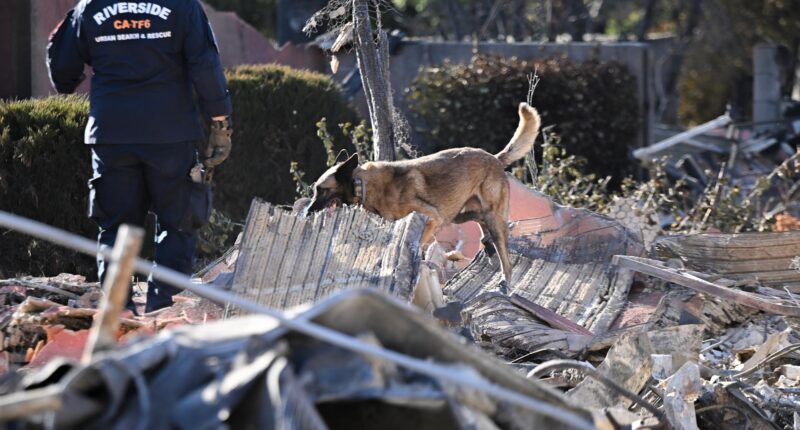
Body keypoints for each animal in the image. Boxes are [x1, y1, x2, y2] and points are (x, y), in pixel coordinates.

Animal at [306, 103, 544, 286]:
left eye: (321, 190)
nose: (307, 213)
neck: (361, 183)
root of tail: (494, 158)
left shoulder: (431, 219)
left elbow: (415, 244)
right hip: (460, 213)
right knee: (480, 222)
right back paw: (487, 245)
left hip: (489, 217)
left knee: (505, 256)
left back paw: (505, 280)